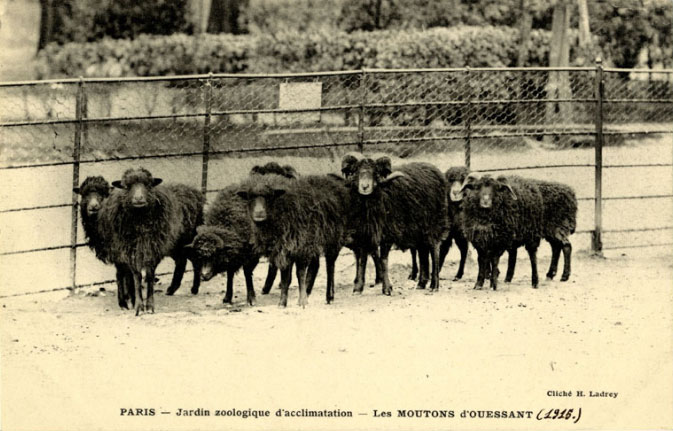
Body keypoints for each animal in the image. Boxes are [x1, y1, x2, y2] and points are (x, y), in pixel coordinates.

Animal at [97, 167, 202, 316]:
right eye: (127, 186)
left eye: (148, 185)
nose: (138, 198)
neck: (140, 219)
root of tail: (192, 191)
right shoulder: (131, 251)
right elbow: (137, 277)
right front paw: (139, 306)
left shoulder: (152, 249)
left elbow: (150, 276)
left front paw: (150, 306)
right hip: (175, 245)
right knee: (182, 261)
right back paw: (172, 289)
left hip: (187, 239)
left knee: (195, 259)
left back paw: (194, 288)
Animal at [236, 172, 350, 308]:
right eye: (249, 197)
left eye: (270, 196)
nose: (259, 213)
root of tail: (330, 181)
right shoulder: (282, 249)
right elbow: (285, 277)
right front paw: (282, 302)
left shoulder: (298, 246)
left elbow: (298, 274)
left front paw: (301, 301)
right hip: (313, 241)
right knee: (315, 266)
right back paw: (308, 290)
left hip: (332, 239)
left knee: (330, 267)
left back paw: (329, 296)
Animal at [342, 154, 446, 296]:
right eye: (356, 171)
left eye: (375, 173)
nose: (365, 187)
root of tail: (436, 171)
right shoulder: (364, 234)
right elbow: (362, 260)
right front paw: (358, 288)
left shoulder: (388, 234)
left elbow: (383, 260)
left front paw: (387, 288)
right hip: (418, 231)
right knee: (422, 252)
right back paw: (421, 283)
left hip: (432, 225)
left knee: (434, 250)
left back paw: (434, 285)